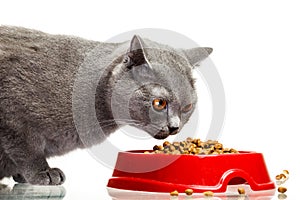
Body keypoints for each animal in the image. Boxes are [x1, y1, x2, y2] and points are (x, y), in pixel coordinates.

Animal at [0, 25, 211, 185]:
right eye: (159, 103)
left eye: (187, 107)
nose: (175, 127)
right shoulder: (14, 118)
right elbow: (27, 149)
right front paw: (42, 173)